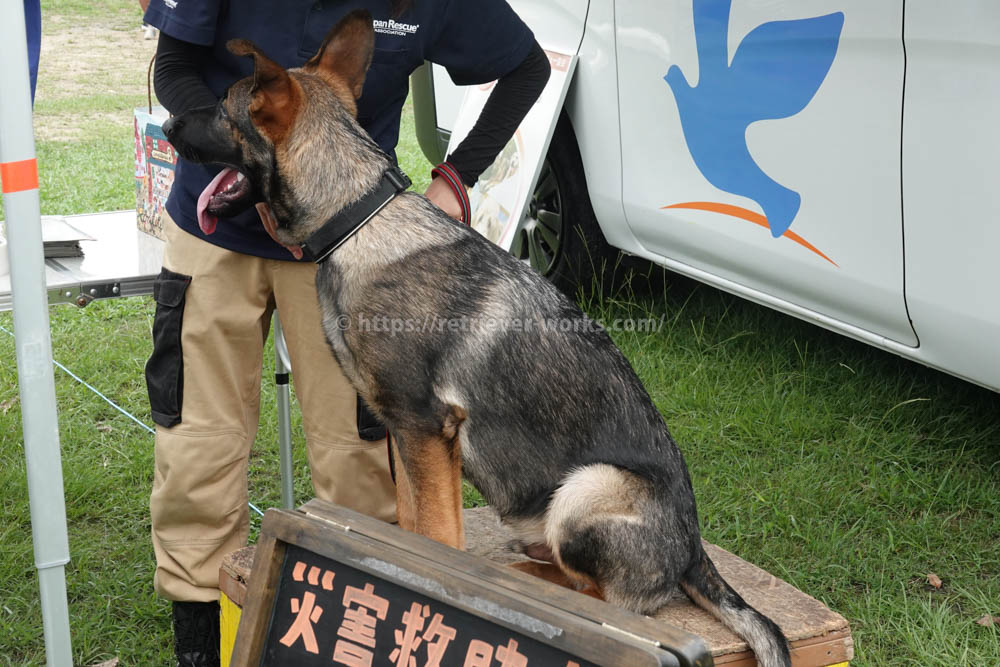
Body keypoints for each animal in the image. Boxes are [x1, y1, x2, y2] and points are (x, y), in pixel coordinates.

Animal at [162, 10, 788, 667]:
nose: (168, 122)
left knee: (607, 597)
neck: (357, 219)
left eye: (222, 108)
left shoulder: (424, 429)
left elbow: (438, 536)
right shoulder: (404, 435)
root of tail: (693, 551)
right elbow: (416, 527)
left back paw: (532, 580)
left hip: (587, 487)